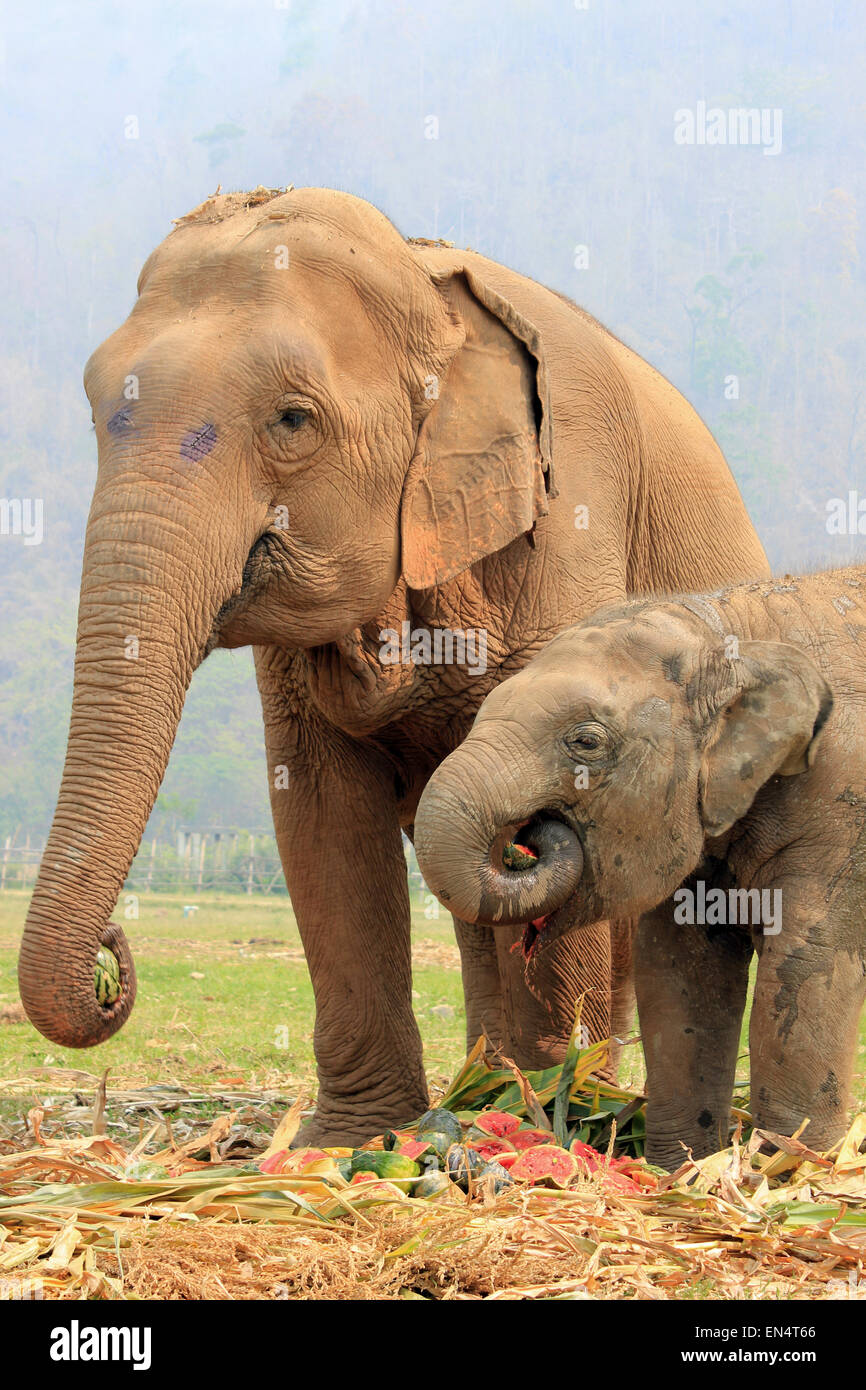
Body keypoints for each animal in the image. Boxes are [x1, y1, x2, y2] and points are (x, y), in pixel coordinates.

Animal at [16, 184, 767, 1139]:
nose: (113, 956)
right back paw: (491, 1084)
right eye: (94, 411)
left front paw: (541, 1124)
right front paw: (362, 1136)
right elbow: (321, 811)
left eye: (293, 419)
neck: (427, 290)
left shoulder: (572, 516)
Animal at [414, 561, 866, 1162]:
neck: (729, 629)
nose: (528, 837)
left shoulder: (842, 811)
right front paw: (684, 1166)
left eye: (585, 741)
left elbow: (803, 965)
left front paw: (791, 1165)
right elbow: (678, 971)